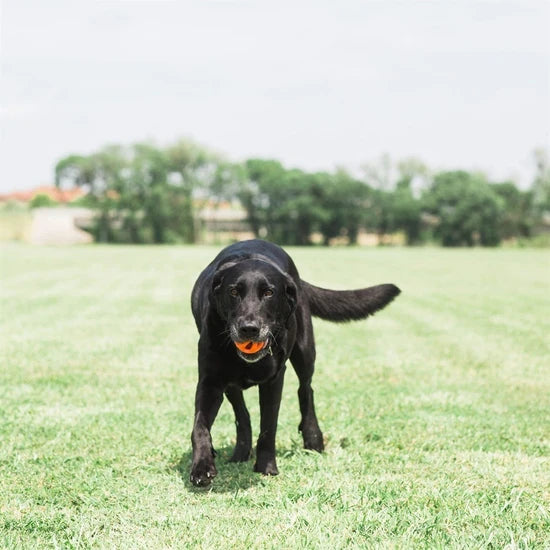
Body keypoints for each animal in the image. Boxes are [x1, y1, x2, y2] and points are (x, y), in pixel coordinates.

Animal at [190, 240, 402, 488]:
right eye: (233, 292)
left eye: (268, 292)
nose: (249, 329)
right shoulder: (210, 382)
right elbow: (200, 427)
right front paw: (202, 468)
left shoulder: (274, 380)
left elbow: (269, 426)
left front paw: (266, 467)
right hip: (231, 384)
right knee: (242, 412)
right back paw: (241, 451)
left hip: (305, 350)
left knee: (306, 389)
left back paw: (313, 438)